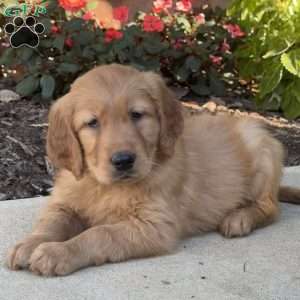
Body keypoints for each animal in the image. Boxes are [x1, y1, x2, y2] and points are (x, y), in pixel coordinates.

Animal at [7, 63, 300, 276]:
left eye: (137, 115)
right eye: (92, 123)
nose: (124, 160)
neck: (104, 186)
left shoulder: (155, 226)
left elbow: (99, 233)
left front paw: (57, 253)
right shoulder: (66, 202)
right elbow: (51, 222)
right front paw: (29, 244)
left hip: (260, 147)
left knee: (270, 207)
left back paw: (239, 218)